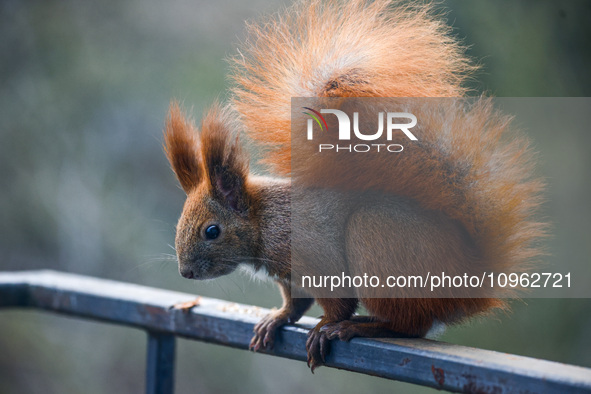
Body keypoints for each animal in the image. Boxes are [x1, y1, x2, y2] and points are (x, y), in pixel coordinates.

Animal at [161, 0, 544, 370]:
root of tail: (470, 279)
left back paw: (357, 327)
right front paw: (277, 318)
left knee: (410, 325)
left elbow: (337, 301)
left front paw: (323, 327)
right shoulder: (290, 276)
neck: (265, 219)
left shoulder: (314, 254)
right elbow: (295, 303)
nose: (185, 272)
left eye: (212, 231)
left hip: (375, 239)